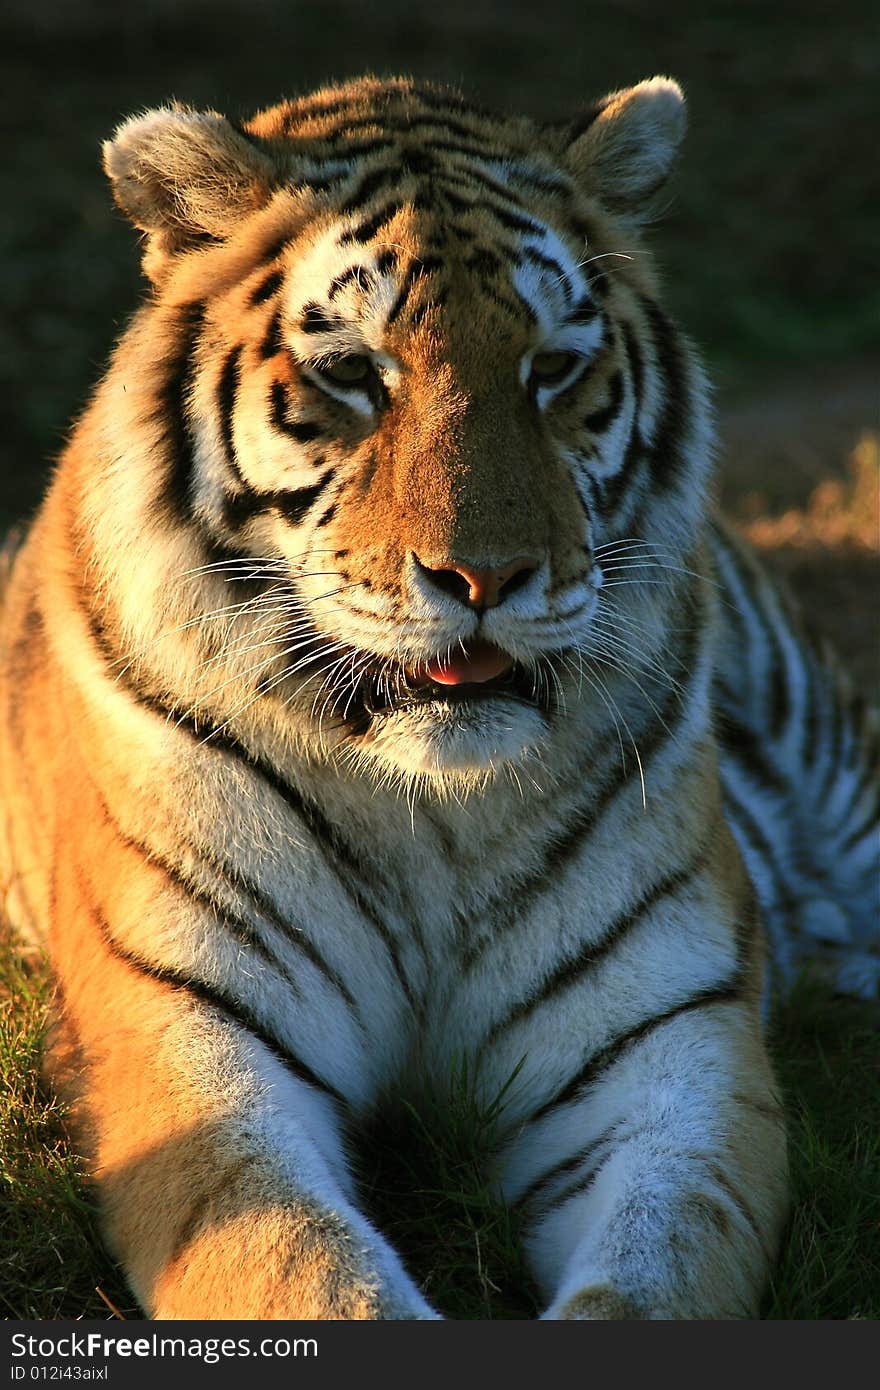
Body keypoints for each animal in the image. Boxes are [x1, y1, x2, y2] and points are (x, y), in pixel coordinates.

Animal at [0, 73, 873, 1312]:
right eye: (353, 373)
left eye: (552, 369)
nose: (486, 577)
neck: (429, 810)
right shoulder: (191, 1037)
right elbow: (300, 1264)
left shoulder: (665, 1054)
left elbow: (652, 1274)